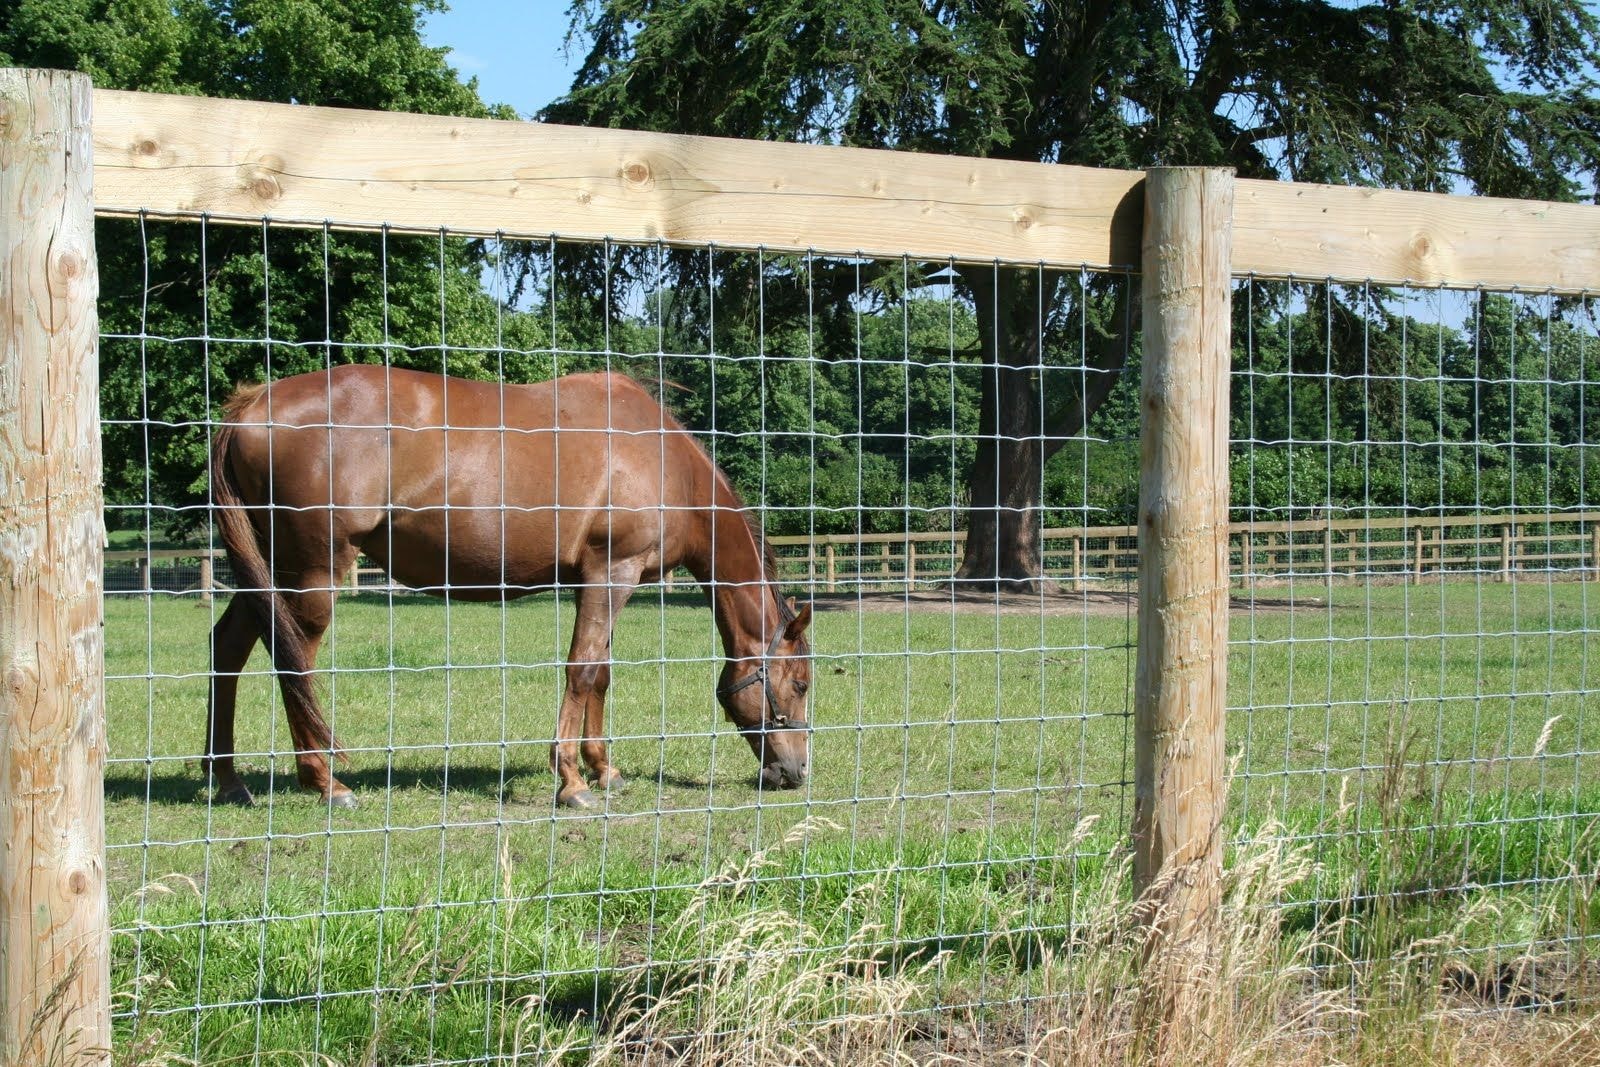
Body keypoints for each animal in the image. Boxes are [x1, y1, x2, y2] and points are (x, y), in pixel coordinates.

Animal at [206, 364, 813, 809]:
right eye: (801, 684)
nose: (796, 771)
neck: (664, 463)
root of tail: (254, 405)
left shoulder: (602, 581)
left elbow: (600, 674)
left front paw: (603, 769)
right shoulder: (612, 572)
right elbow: (582, 671)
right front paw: (572, 782)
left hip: (272, 570)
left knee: (228, 647)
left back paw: (229, 780)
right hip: (313, 570)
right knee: (294, 664)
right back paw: (326, 782)